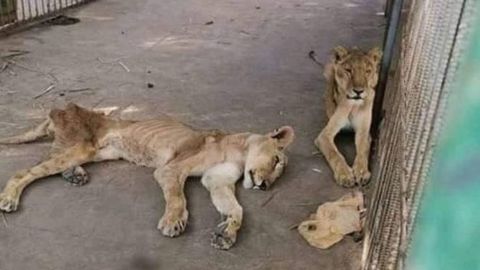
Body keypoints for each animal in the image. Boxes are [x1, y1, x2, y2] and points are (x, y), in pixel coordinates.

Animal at [0, 103, 294, 249]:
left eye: (278, 174)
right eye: (277, 161)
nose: (265, 186)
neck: (239, 154)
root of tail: (61, 109)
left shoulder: (216, 181)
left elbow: (236, 209)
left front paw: (227, 234)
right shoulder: (170, 169)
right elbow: (177, 197)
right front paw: (173, 222)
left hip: (96, 152)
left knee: (55, 160)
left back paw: (75, 174)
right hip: (80, 145)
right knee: (26, 171)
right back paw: (9, 199)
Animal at [316, 45, 382, 187]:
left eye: (367, 71)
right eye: (348, 70)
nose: (358, 91)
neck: (353, 105)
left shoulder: (364, 132)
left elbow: (362, 150)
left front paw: (361, 171)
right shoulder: (324, 136)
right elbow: (334, 154)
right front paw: (345, 174)